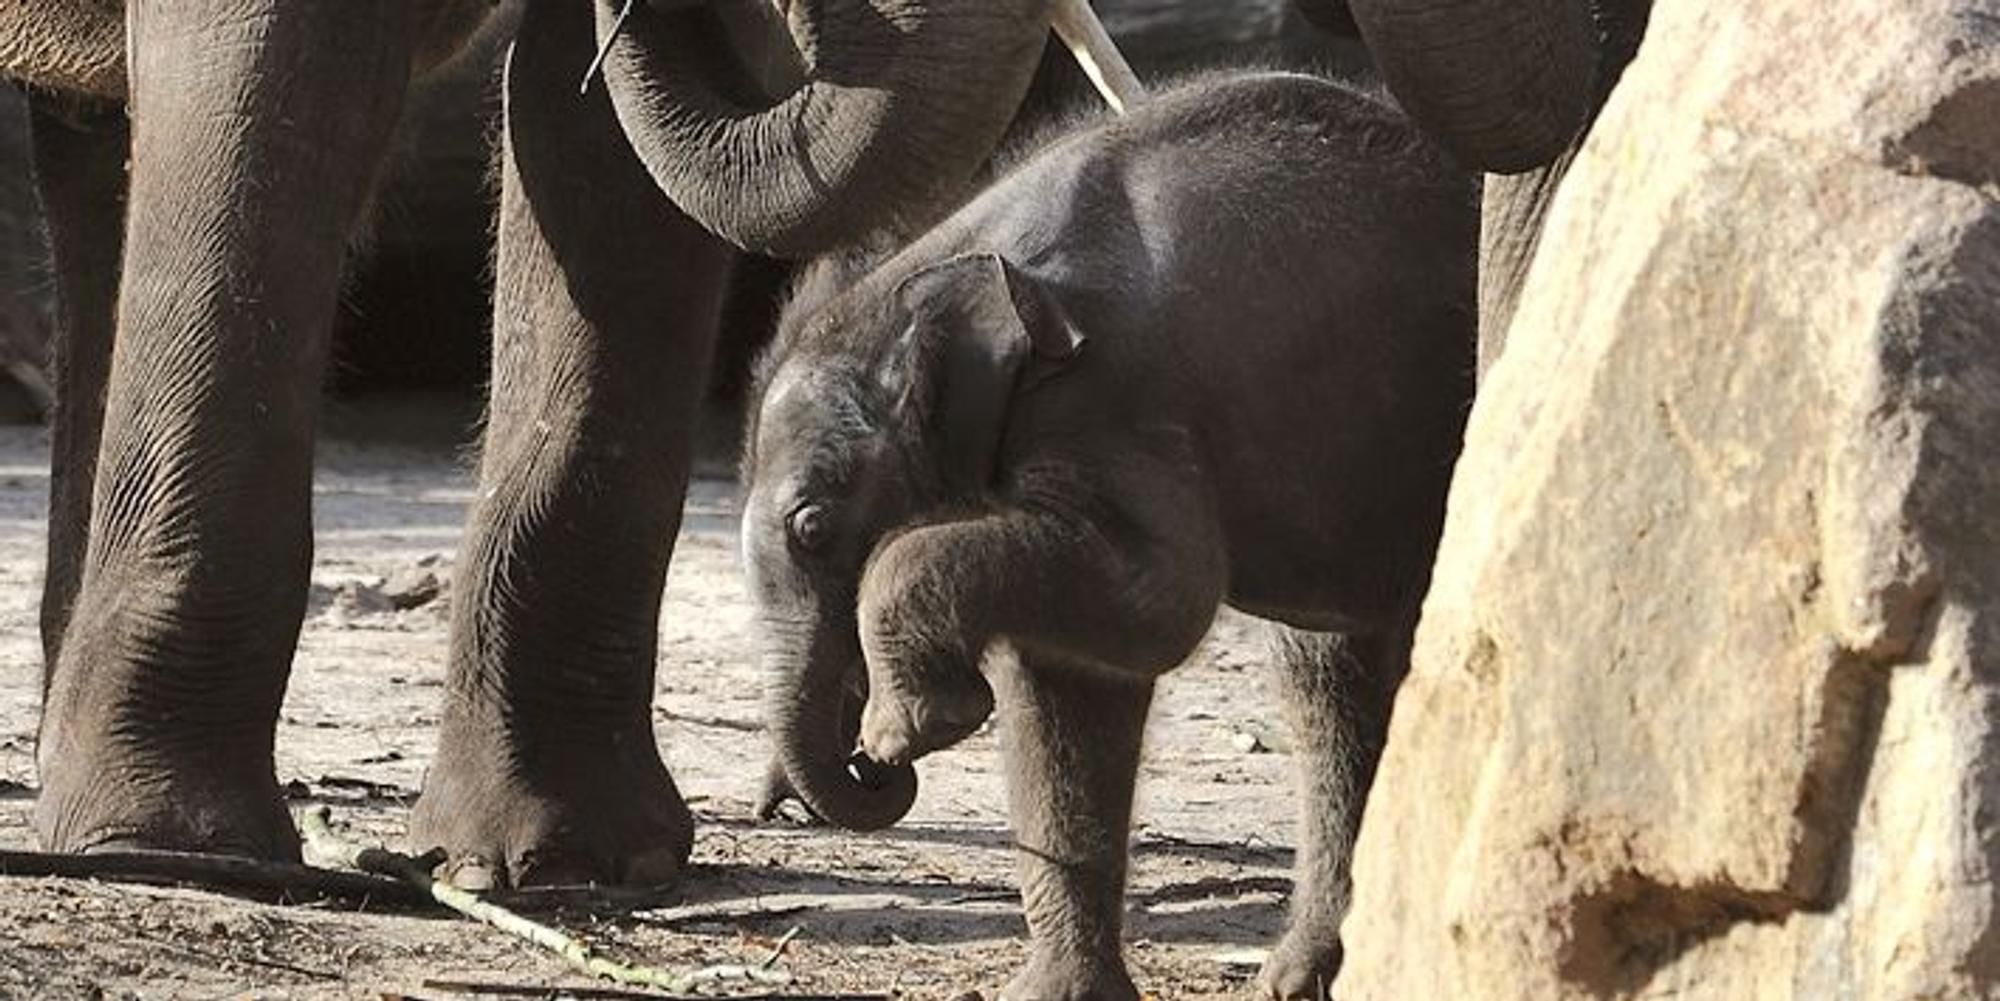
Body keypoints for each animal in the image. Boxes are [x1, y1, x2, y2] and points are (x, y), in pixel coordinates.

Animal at [6, 0, 1107, 889]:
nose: (875, 764)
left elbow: (594, 159)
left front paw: (576, 862)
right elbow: (276, 88)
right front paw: (173, 845)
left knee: (92, 161)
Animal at [740, 72, 1477, 1000]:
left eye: (812, 526)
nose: (870, 765)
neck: (959, 263)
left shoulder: (1121, 395)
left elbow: (1164, 601)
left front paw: (918, 722)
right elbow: (1072, 682)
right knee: (1327, 675)